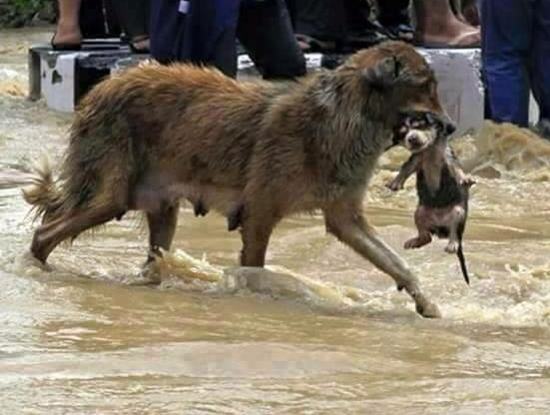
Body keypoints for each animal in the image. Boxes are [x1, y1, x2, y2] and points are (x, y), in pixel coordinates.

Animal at [23, 40, 452, 316]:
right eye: (425, 86)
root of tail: (101, 88)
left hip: (161, 208)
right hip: (111, 196)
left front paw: (425, 301)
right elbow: (255, 268)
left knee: (152, 258)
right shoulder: (259, 215)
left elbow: (396, 263)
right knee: (44, 233)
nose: (448, 127)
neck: (347, 114)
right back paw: (36, 272)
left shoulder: (346, 219)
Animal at [388, 112, 474, 284]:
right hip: (420, 212)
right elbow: (404, 169)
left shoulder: (447, 158)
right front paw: (395, 183)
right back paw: (414, 242)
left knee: (454, 233)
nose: (412, 138)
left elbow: (457, 170)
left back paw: (452, 245)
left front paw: (465, 179)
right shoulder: (416, 159)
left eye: (420, 125)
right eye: (403, 133)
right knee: (426, 236)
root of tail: (440, 229)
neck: (429, 149)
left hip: (458, 212)